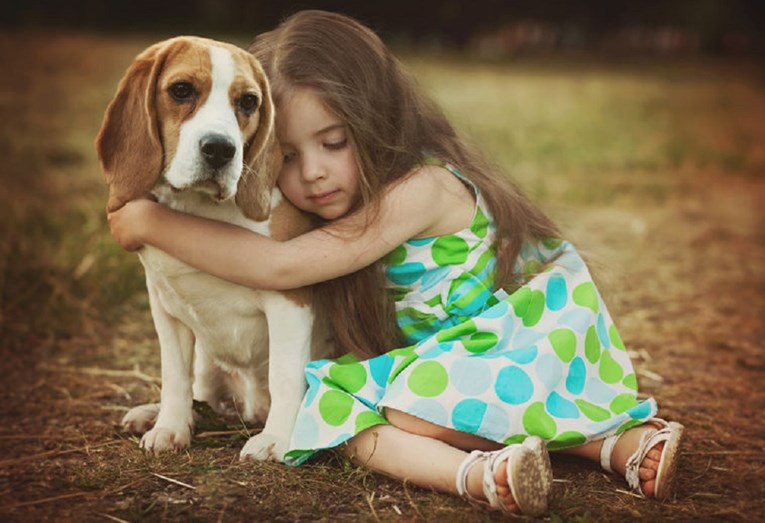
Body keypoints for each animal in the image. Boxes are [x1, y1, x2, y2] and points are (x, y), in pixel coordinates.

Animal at [97, 36, 332, 460]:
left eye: (249, 102)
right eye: (181, 90)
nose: (221, 149)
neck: (201, 211)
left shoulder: (289, 301)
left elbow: (285, 374)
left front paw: (277, 440)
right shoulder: (164, 305)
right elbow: (174, 374)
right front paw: (170, 426)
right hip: (208, 363)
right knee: (199, 390)